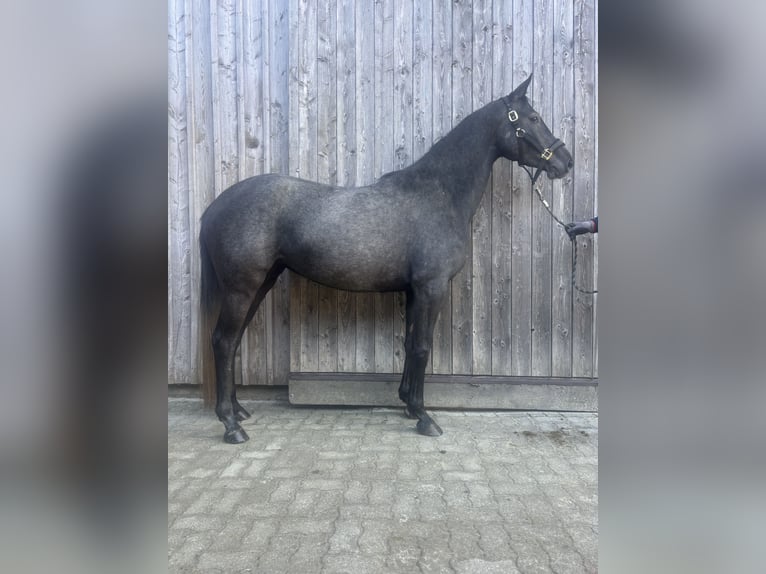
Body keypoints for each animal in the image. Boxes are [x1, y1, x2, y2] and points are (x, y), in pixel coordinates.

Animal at [199, 74, 573, 443]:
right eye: (533, 118)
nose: (565, 161)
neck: (439, 194)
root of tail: (215, 207)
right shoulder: (431, 288)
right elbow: (422, 346)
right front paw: (424, 416)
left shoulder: (413, 291)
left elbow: (409, 343)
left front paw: (407, 403)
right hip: (242, 289)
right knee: (223, 341)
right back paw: (231, 424)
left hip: (260, 284)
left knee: (233, 341)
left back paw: (239, 411)